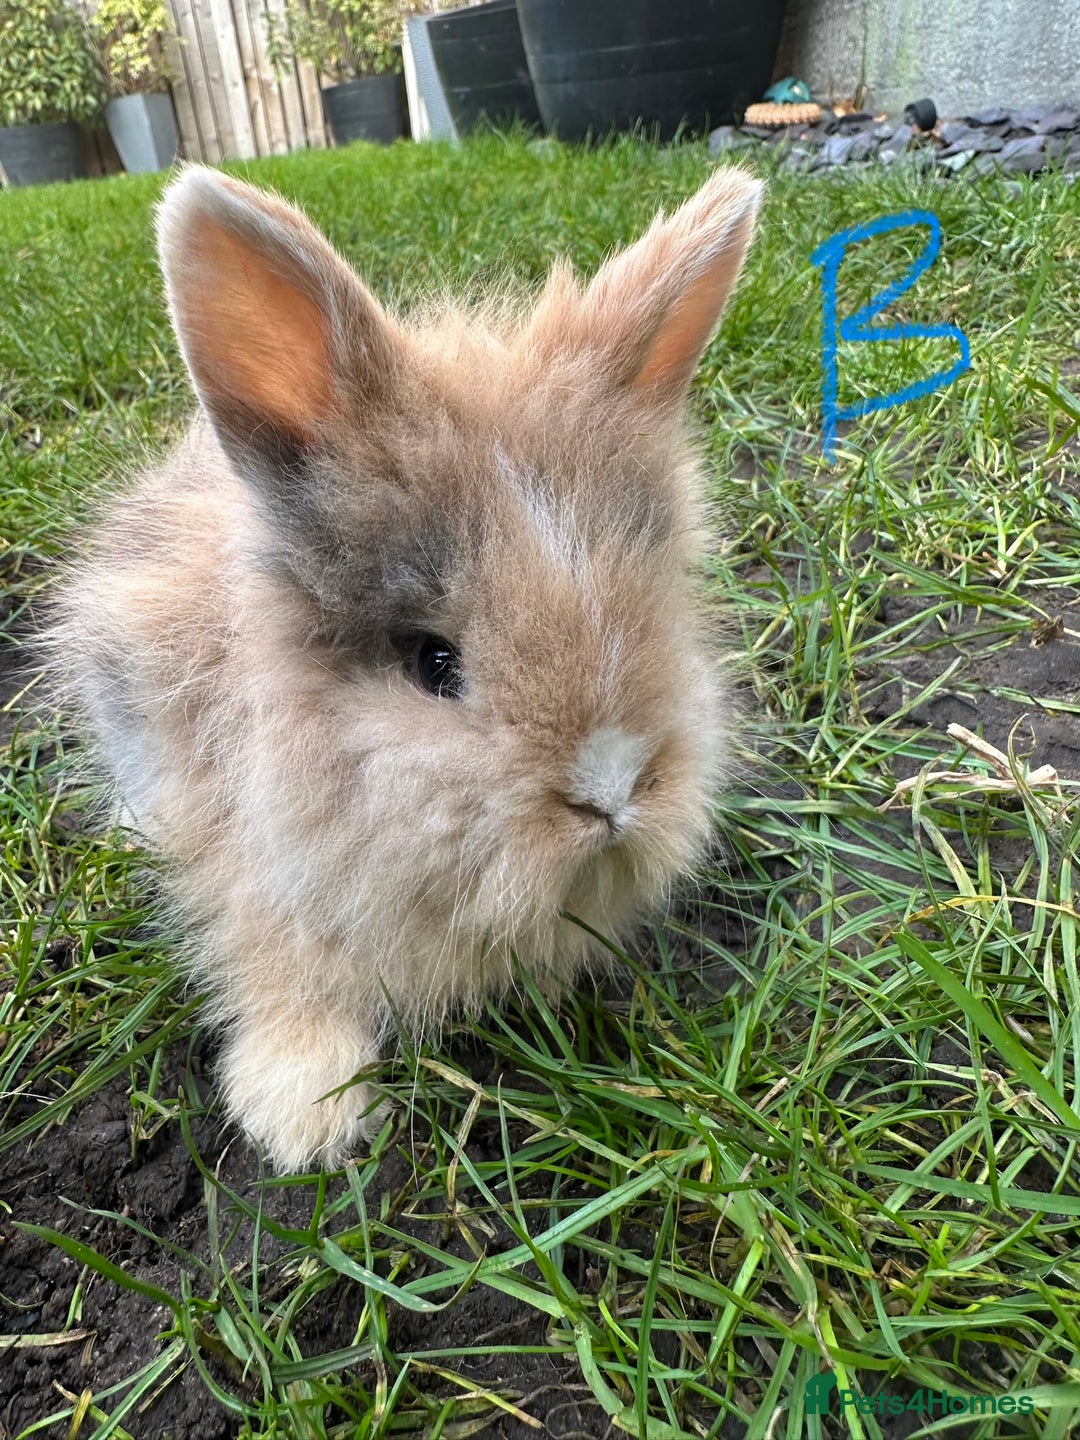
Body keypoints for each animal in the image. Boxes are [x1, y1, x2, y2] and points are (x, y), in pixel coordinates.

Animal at [47, 162, 762, 1173]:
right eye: (434, 662)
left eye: (658, 612)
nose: (612, 790)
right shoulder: (249, 868)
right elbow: (278, 968)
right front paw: (305, 1119)